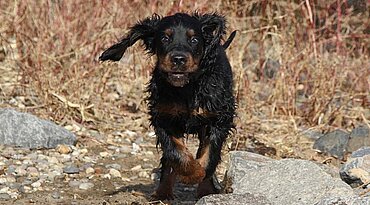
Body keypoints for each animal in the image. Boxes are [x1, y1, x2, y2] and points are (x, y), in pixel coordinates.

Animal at [99, 11, 236, 200]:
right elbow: (175, 152)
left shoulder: (219, 118)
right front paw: (191, 173)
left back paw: (205, 190)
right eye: (164, 38)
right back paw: (162, 193)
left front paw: (202, 178)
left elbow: (210, 154)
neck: (186, 88)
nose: (178, 59)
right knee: (168, 160)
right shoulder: (163, 118)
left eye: (194, 40)